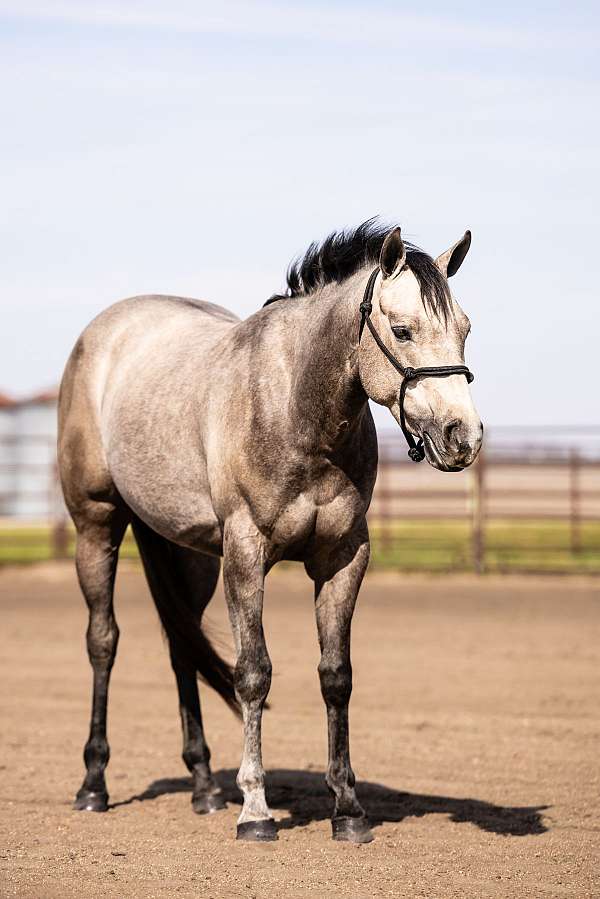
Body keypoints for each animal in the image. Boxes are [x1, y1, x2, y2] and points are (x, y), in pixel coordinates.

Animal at [58, 218, 482, 844]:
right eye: (402, 330)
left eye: (465, 329)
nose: (463, 437)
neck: (296, 409)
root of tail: (103, 333)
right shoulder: (245, 554)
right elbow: (253, 673)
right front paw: (255, 810)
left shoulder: (343, 558)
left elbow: (336, 676)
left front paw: (347, 809)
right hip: (97, 527)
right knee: (102, 642)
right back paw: (94, 784)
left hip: (191, 555)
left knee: (181, 646)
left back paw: (205, 787)